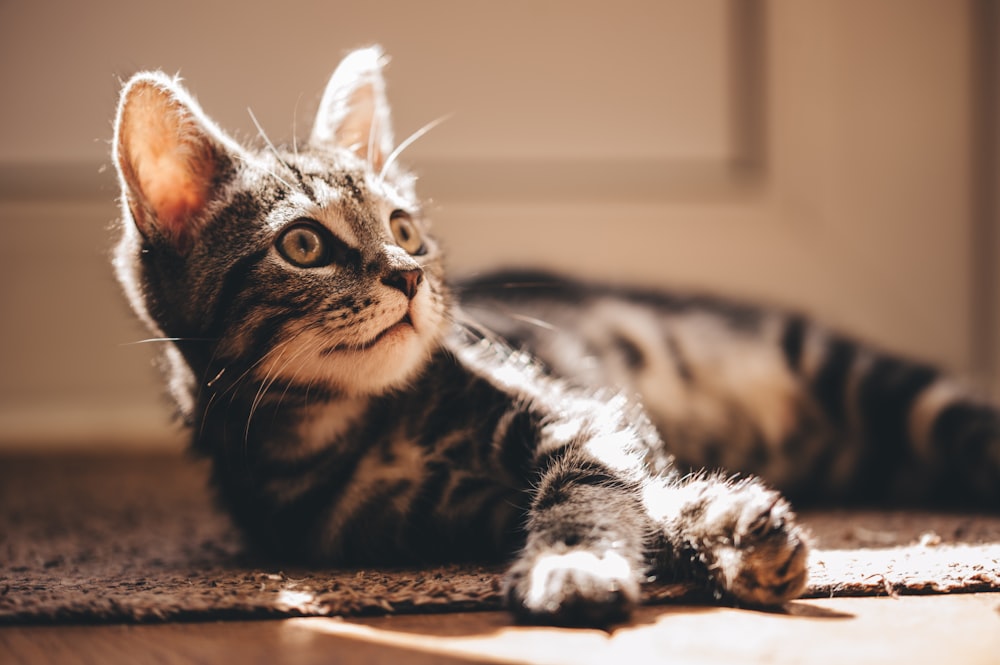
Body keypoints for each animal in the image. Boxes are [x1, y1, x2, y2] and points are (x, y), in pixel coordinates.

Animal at [111, 48, 1000, 628]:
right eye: (303, 244)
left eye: (404, 229)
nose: (406, 275)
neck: (360, 426)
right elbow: (639, 498)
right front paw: (720, 529)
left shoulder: (581, 409)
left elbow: (599, 483)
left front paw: (582, 557)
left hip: (859, 375)